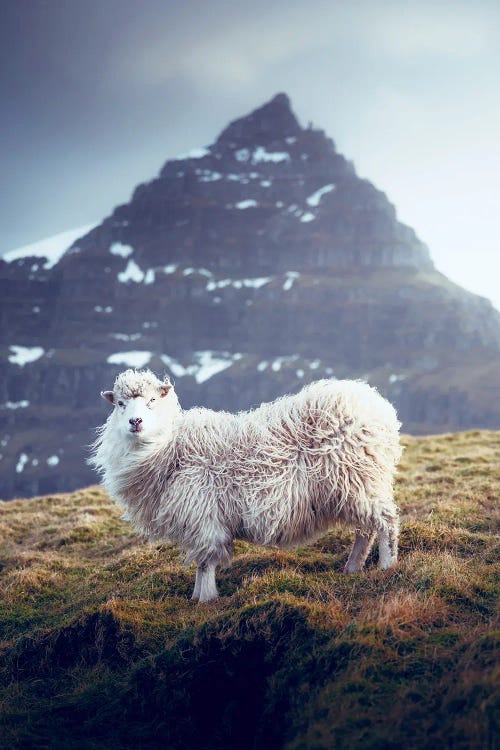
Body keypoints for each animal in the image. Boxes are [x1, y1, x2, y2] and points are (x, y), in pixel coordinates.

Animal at [90, 370, 402, 604]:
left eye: (153, 399)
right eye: (120, 404)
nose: (135, 421)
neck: (168, 446)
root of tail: (376, 403)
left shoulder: (203, 516)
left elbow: (206, 562)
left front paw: (205, 599)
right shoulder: (197, 521)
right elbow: (200, 561)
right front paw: (196, 596)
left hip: (359, 477)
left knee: (385, 521)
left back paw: (387, 566)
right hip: (356, 486)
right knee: (366, 530)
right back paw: (353, 568)